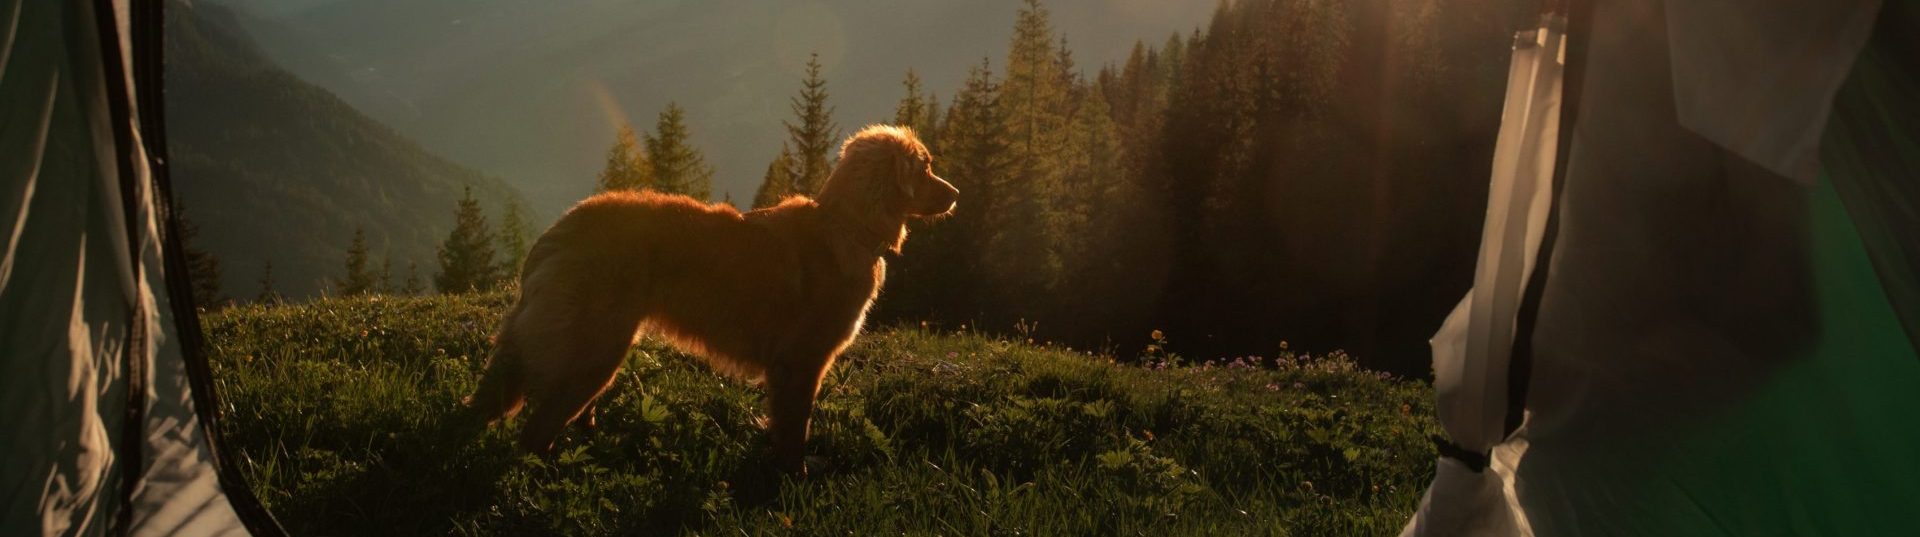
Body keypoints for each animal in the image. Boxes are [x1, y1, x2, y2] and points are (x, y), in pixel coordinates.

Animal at [456, 123, 952, 471]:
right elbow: (796, 430)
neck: (847, 227)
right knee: (536, 431)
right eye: (926, 168)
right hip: (594, 347)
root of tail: (558, 231)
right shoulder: (800, 364)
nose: (957, 193)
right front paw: (794, 474)